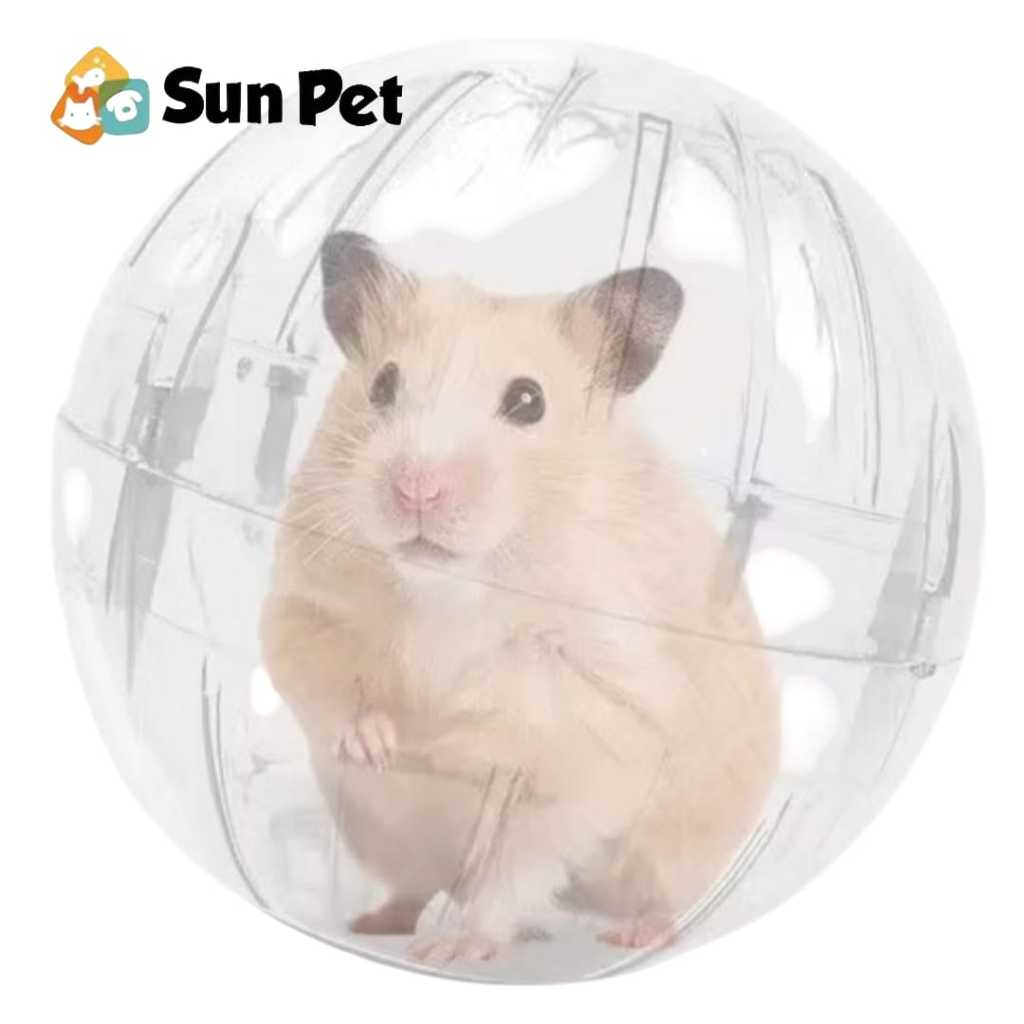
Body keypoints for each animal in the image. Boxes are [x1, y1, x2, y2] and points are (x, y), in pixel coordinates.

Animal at [261, 232, 780, 964]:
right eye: (383, 384)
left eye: (529, 401)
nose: (416, 489)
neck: (453, 583)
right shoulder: (305, 602)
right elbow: (318, 671)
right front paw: (381, 743)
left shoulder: (605, 694)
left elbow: (522, 719)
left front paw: (435, 746)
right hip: (384, 834)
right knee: (421, 886)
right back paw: (376, 923)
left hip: (650, 847)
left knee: (528, 890)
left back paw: (508, 944)